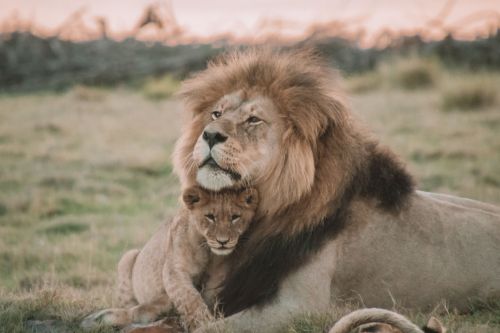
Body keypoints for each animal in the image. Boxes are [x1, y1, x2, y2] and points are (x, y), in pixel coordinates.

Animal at [171, 48, 500, 330]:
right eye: (216, 114)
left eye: (253, 119)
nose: (209, 135)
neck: (266, 210)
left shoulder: (300, 305)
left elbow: (211, 328)